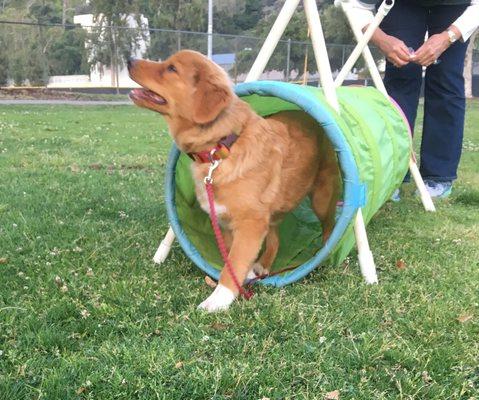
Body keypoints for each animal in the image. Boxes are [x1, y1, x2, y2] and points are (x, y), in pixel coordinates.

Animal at [129, 50, 340, 312]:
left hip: (321, 199)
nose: (129, 61)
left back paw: (326, 253)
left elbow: (236, 261)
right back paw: (263, 265)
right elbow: (232, 258)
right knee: (276, 238)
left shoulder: (250, 224)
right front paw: (245, 275)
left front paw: (219, 298)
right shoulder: (228, 222)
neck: (221, 149)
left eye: (171, 69)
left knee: (329, 225)